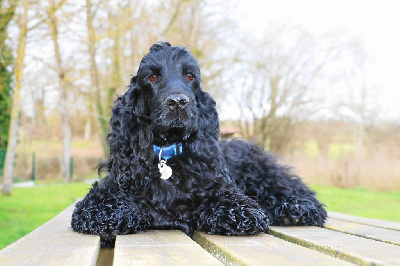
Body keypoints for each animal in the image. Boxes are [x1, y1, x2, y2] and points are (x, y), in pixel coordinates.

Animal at [72, 41, 326, 247]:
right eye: (152, 77)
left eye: (190, 76)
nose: (178, 102)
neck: (167, 153)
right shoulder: (102, 197)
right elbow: (103, 208)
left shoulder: (230, 195)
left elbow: (237, 208)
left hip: (261, 172)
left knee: (298, 193)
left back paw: (294, 209)